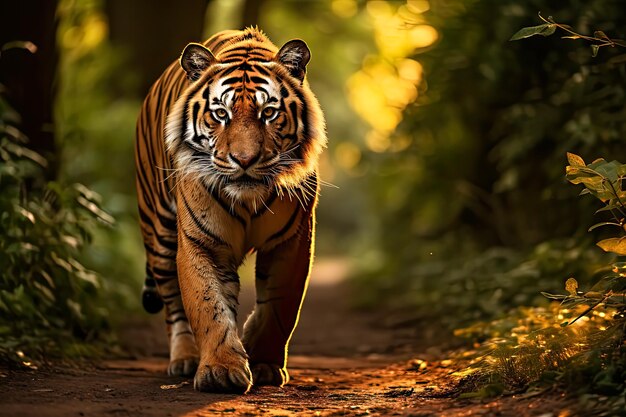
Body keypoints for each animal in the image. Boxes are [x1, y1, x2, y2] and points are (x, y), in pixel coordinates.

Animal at [133, 26, 326, 394]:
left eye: (269, 113)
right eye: (221, 114)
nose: (244, 159)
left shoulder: (292, 241)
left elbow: (279, 307)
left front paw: (263, 363)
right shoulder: (201, 243)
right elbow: (207, 306)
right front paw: (220, 371)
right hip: (159, 233)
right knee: (173, 304)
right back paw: (184, 358)